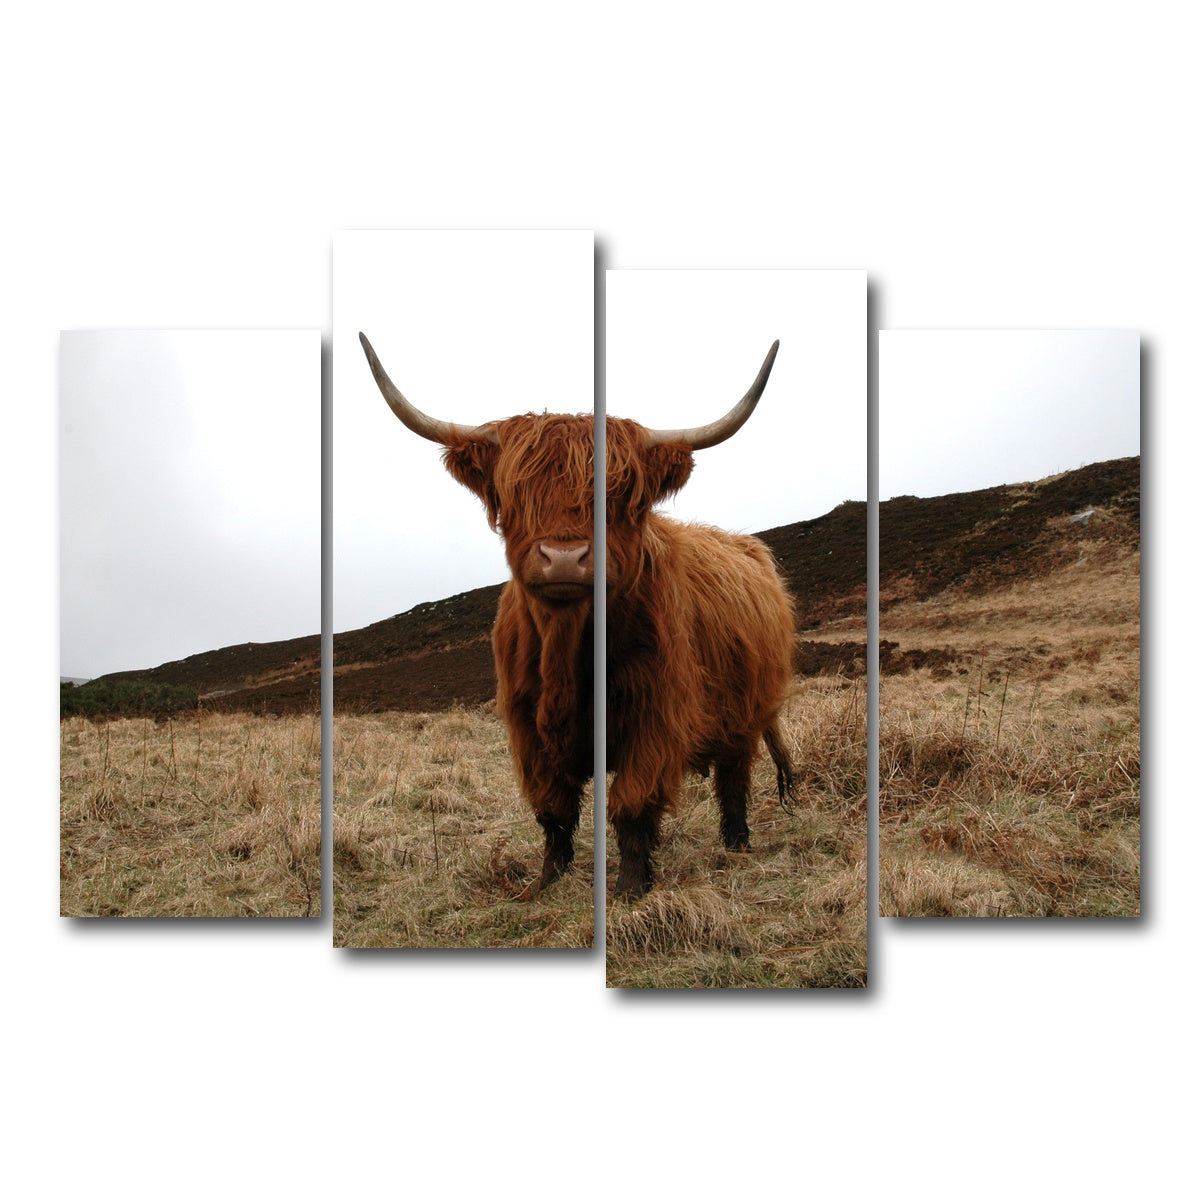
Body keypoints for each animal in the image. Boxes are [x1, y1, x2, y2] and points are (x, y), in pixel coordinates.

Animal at [360, 332, 796, 900]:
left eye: (619, 494)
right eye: (517, 491)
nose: (564, 557)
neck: (567, 651)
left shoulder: (655, 716)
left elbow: (633, 803)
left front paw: (631, 888)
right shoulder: (525, 725)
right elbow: (553, 808)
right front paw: (544, 882)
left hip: (747, 712)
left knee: (734, 778)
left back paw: (738, 844)